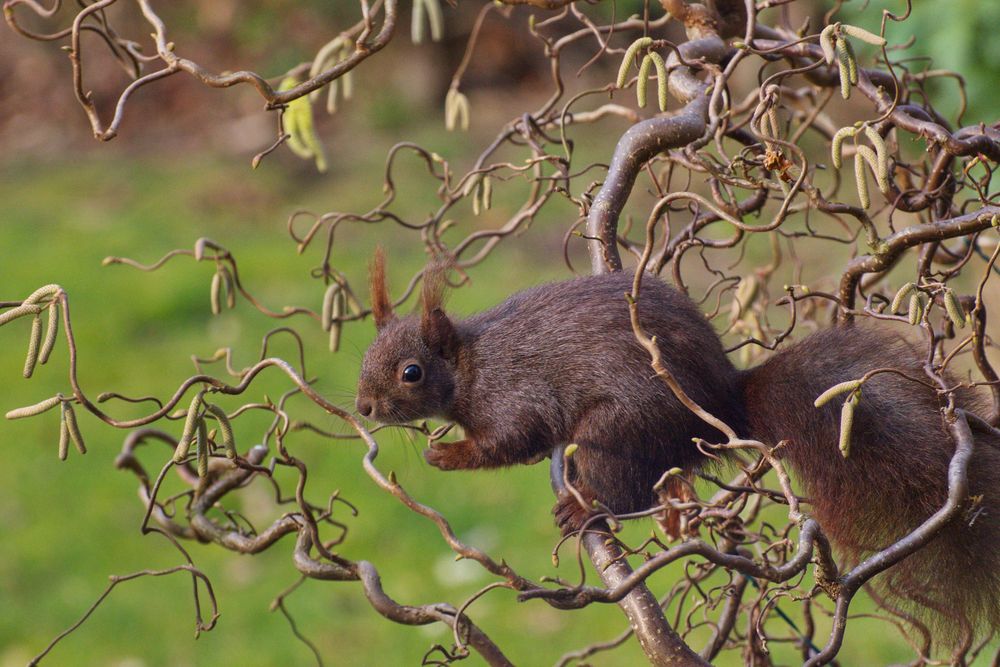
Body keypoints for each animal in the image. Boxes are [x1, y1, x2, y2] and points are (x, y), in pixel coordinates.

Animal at [354, 252, 1000, 640]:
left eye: (411, 373)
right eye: (366, 358)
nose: (362, 407)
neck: (471, 365)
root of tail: (722, 408)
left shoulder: (515, 395)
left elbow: (513, 441)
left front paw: (446, 454)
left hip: (617, 429)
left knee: (626, 488)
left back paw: (585, 507)